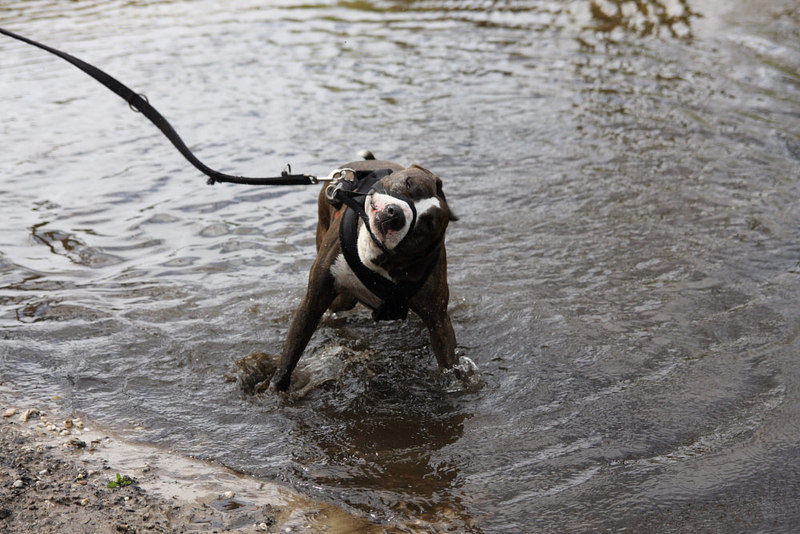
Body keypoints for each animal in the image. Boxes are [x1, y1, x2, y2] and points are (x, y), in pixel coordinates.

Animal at [268, 153, 456, 392]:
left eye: (426, 225)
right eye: (410, 185)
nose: (395, 214)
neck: (376, 255)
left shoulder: (437, 316)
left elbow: (450, 362)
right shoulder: (314, 300)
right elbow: (291, 354)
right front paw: (276, 387)